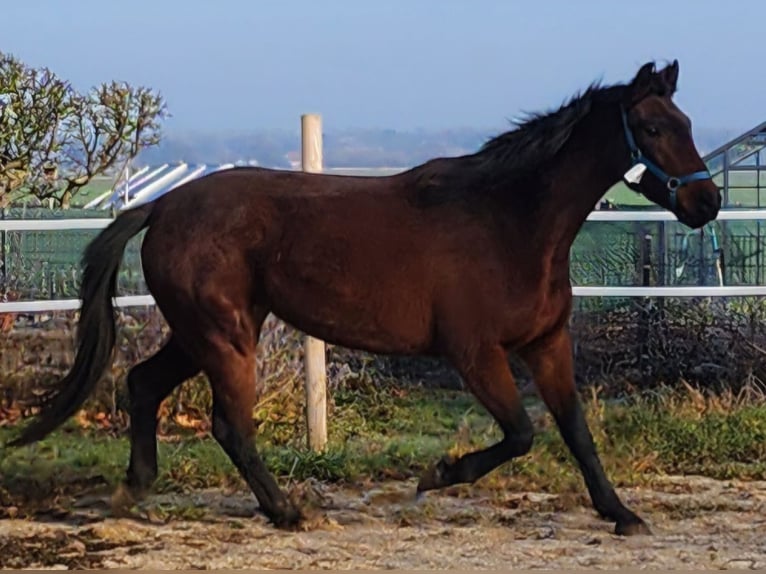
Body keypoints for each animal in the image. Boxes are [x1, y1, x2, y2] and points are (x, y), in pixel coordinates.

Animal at [9, 58, 724, 536]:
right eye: (652, 127)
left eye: (685, 120)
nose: (706, 202)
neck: (510, 222)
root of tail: (162, 206)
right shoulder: (474, 352)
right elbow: (522, 433)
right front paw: (436, 475)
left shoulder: (548, 343)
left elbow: (575, 429)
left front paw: (621, 514)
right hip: (224, 335)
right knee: (229, 424)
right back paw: (287, 511)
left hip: (199, 333)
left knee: (143, 384)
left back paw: (135, 490)